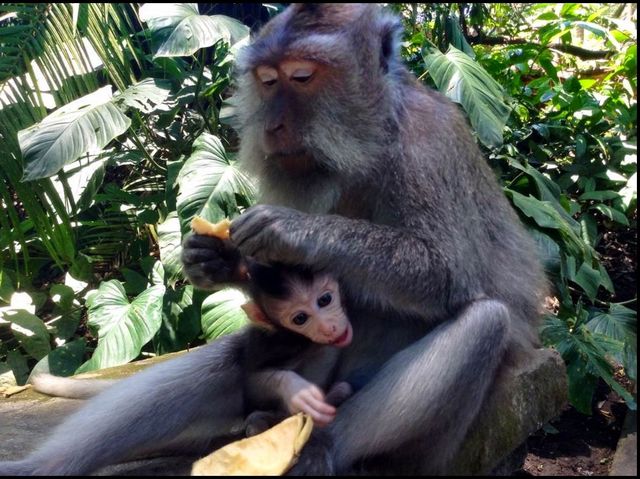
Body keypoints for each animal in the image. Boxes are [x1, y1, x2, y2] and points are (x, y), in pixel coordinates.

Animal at [0, 2, 544, 476]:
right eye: (267, 80)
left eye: (302, 77)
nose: (275, 126)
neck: (370, 145)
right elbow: (270, 288)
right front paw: (211, 261)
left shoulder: (427, 149)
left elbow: (449, 274)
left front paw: (291, 230)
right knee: (237, 358)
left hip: (439, 446)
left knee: (484, 323)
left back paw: (318, 447)